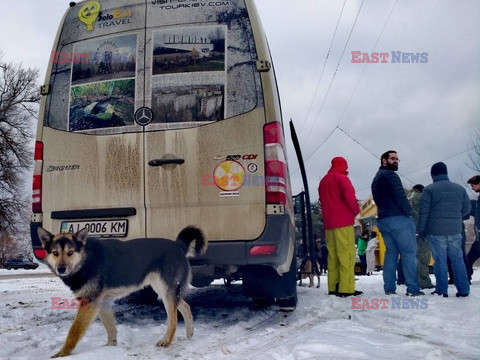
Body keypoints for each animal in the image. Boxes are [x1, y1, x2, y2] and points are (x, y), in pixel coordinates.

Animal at [37, 225, 206, 358]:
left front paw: (62, 354)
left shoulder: (89, 302)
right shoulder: (102, 302)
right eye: (55, 253)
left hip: (165, 290)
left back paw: (167, 340)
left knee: (173, 319)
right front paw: (110, 348)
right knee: (185, 306)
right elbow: (110, 328)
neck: (86, 260)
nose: (61, 269)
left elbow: (73, 332)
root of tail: (178, 246)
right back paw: (189, 334)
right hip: (163, 289)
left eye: (70, 253)